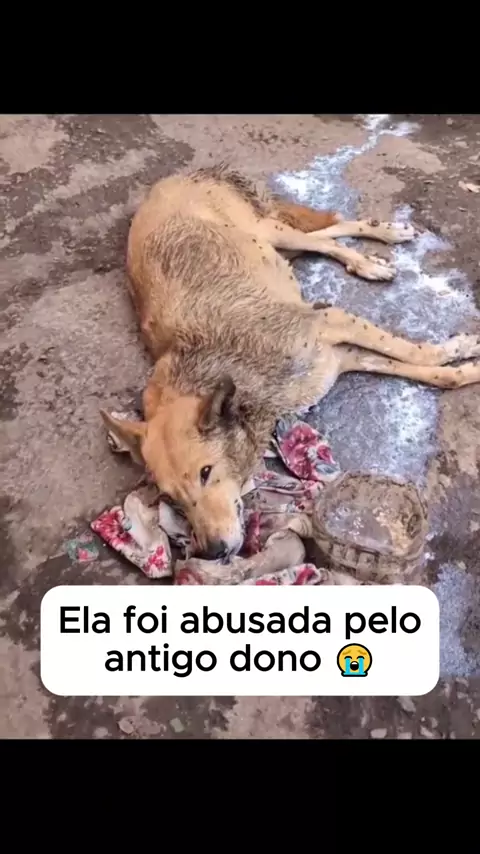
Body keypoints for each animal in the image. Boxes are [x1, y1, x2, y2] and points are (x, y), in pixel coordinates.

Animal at [101, 163, 480, 562]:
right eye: (170, 499)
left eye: (206, 472)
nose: (212, 552)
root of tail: (175, 178)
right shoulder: (338, 359)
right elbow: (431, 372)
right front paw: (464, 366)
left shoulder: (330, 321)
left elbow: (416, 353)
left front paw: (457, 350)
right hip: (275, 242)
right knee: (325, 233)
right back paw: (379, 239)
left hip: (269, 231)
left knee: (326, 239)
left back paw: (373, 254)